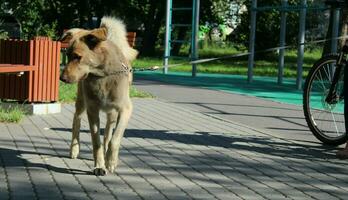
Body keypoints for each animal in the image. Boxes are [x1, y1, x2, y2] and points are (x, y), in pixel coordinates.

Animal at [59, 16, 137, 175]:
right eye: (68, 55)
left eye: (77, 57)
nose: (61, 78)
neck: (103, 75)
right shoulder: (92, 110)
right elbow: (96, 142)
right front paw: (99, 166)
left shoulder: (125, 109)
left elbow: (114, 138)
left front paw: (111, 161)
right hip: (81, 102)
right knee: (76, 121)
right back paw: (74, 149)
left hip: (112, 113)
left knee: (107, 133)